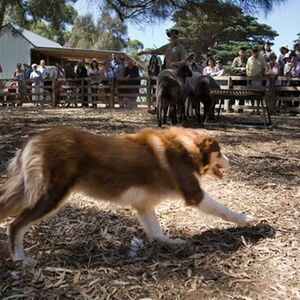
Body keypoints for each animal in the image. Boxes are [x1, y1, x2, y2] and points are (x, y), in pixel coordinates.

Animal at [0, 126, 254, 264]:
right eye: (220, 152)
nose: (232, 162)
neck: (187, 147)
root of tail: (34, 139)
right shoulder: (194, 194)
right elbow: (224, 210)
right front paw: (246, 219)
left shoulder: (144, 205)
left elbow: (156, 232)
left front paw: (171, 242)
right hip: (51, 196)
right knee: (16, 225)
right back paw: (21, 259)